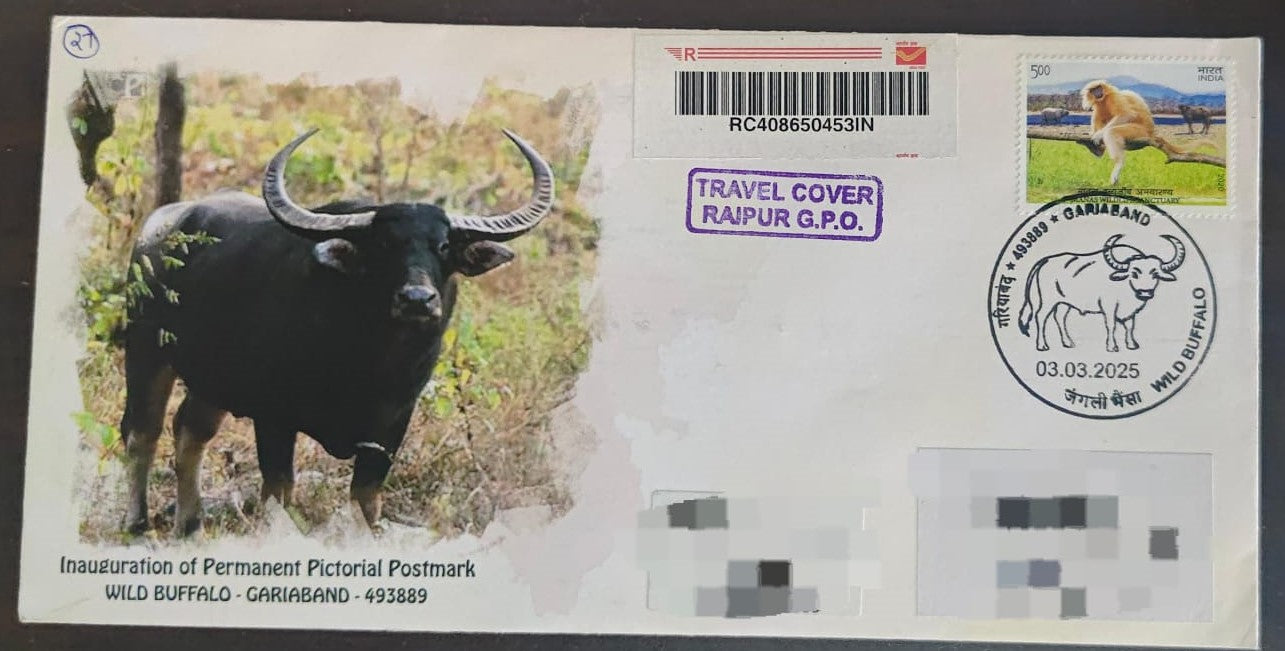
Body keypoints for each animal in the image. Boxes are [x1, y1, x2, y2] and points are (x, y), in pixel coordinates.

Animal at [120, 128, 554, 536]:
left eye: (444, 245)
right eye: (384, 244)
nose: (417, 298)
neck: (370, 362)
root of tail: (158, 229)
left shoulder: (393, 424)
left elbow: (364, 499)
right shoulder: (273, 417)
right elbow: (279, 493)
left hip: (212, 381)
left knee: (189, 432)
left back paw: (190, 525)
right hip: (145, 353)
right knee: (142, 433)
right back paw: (137, 521)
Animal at [1017, 234, 1186, 352]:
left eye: (1155, 274)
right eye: (1134, 273)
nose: (1145, 293)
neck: (1123, 285)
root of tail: (1044, 261)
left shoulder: (1131, 312)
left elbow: (1130, 326)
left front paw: (1132, 344)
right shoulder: (1109, 307)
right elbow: (1111, 325)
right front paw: (1112, 347)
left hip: (1064, 302)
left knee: (1059, 317)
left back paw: (1068, 342)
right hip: (1047, 300)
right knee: (1041, 317)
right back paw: (1042, 345)